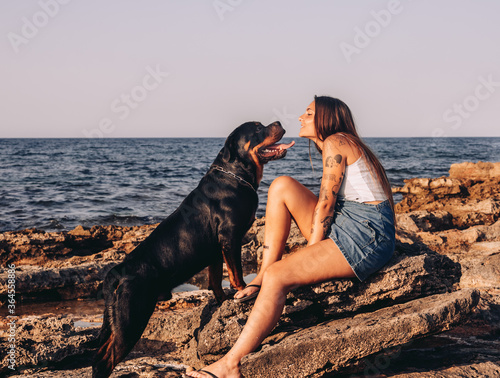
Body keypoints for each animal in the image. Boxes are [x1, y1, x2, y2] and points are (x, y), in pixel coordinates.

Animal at [91, 121, 292, 378]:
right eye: (257, 128)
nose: (278, 123)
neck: (235, 175)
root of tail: (118, 271)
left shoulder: (216, 250)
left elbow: (215, 280)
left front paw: (223, 300)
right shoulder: (230, 237)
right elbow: (235, 272)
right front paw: (243, 291)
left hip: (116, 320)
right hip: (130, 319)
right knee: (105, 359)